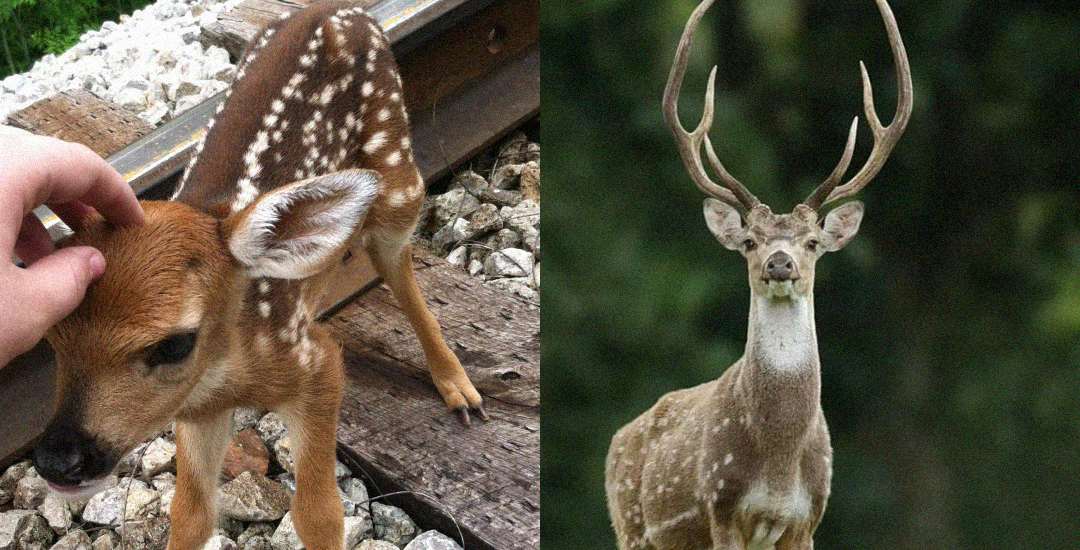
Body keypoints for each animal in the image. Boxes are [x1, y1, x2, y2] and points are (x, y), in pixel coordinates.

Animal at [29, 2, 486, 549]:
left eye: (175, 344)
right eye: (52, 336)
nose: (58, 459)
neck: (233, 367)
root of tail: (339, 10)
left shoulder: (316, 364)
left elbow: (319, 514)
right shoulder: (195, 409)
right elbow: (190, 514)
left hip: (397, 172)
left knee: (400, 264)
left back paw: (459, 389)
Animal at [605, 0, 912, 548]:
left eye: (812, 242)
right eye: (749, 241)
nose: (779, 262)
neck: (779, 460)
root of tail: (615, 444)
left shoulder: (808, 518)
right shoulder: (720, 505)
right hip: (633, 527)